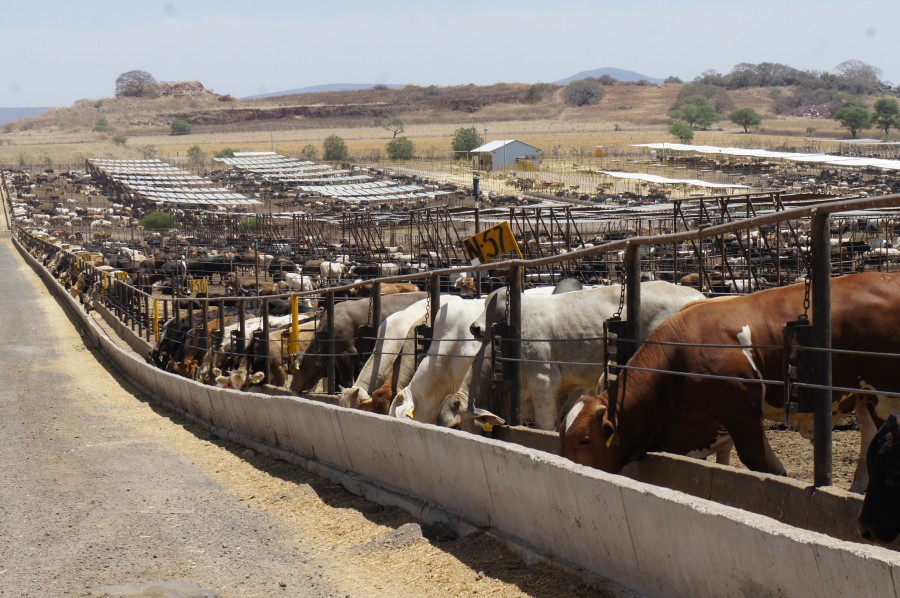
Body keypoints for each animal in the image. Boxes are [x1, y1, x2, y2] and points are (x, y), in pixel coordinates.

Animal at [442, 284, 712, 434]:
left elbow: (545, 425)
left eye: (454, 426)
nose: (474, 329)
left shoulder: (544, 382)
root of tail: (698, 296)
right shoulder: (567, 387)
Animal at [560, 274, 900, 480]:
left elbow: (761, 462)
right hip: (865, 396)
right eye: (563, 437)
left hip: (886, 396)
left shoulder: (741, 412)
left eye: (585, 439)